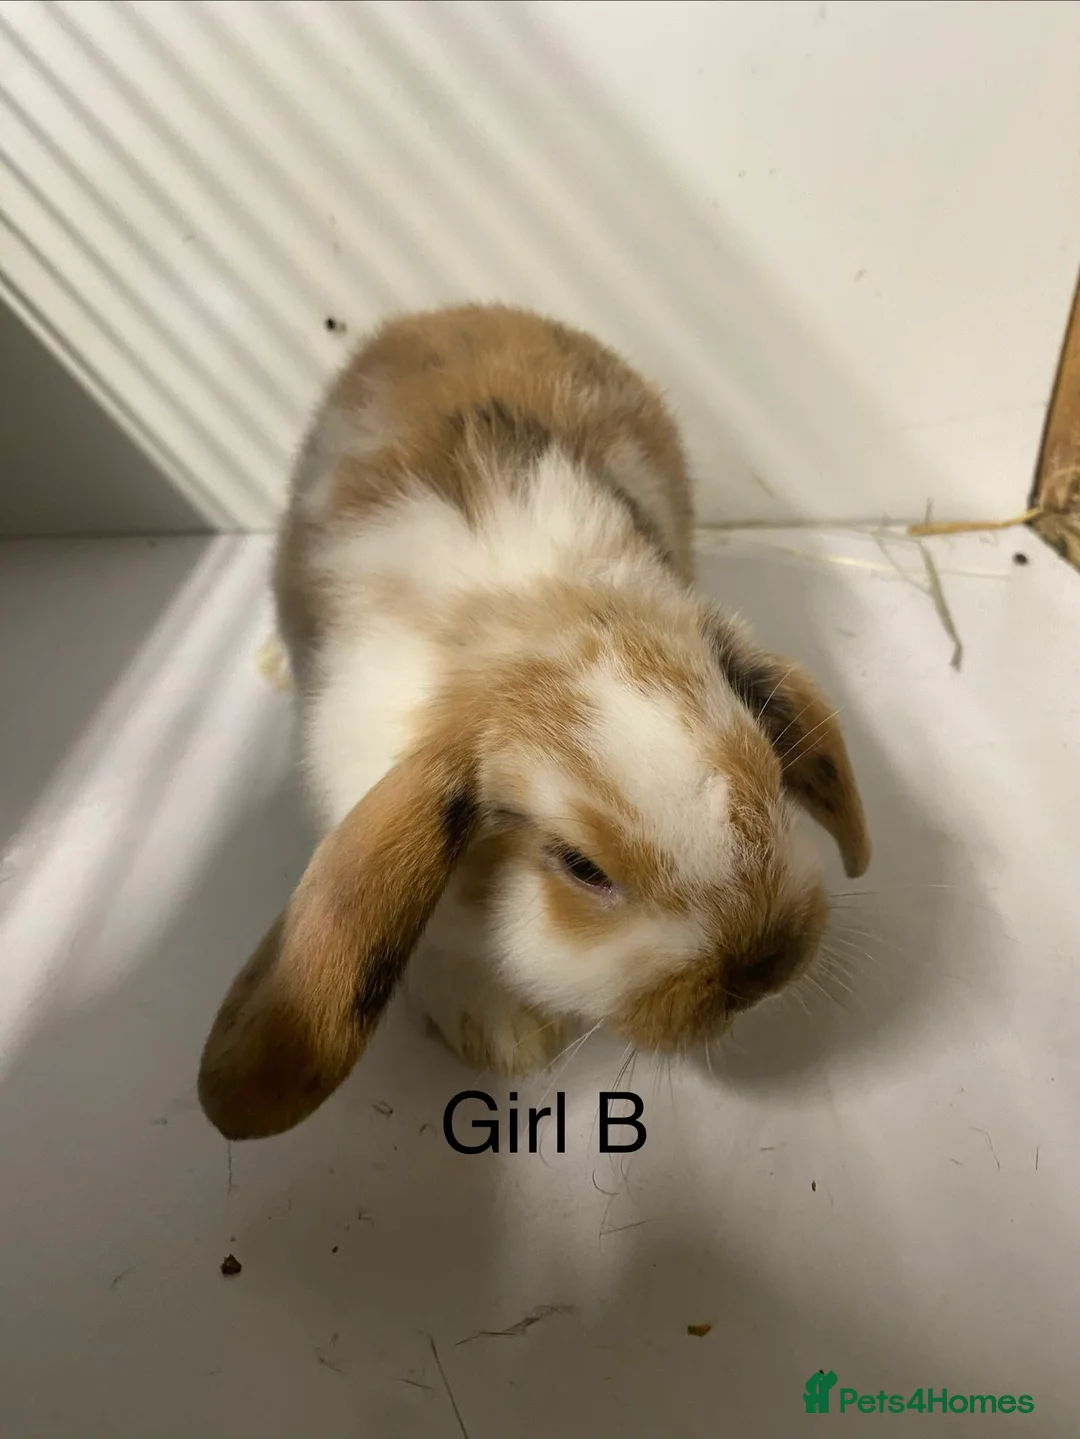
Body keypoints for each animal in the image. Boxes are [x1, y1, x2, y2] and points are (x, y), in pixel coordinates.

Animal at [198, 304, 869, 1141]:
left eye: (774, 778)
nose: (763, 966)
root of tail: (451, 313)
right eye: (580, 867)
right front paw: (503, 1041)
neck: (533, 620)